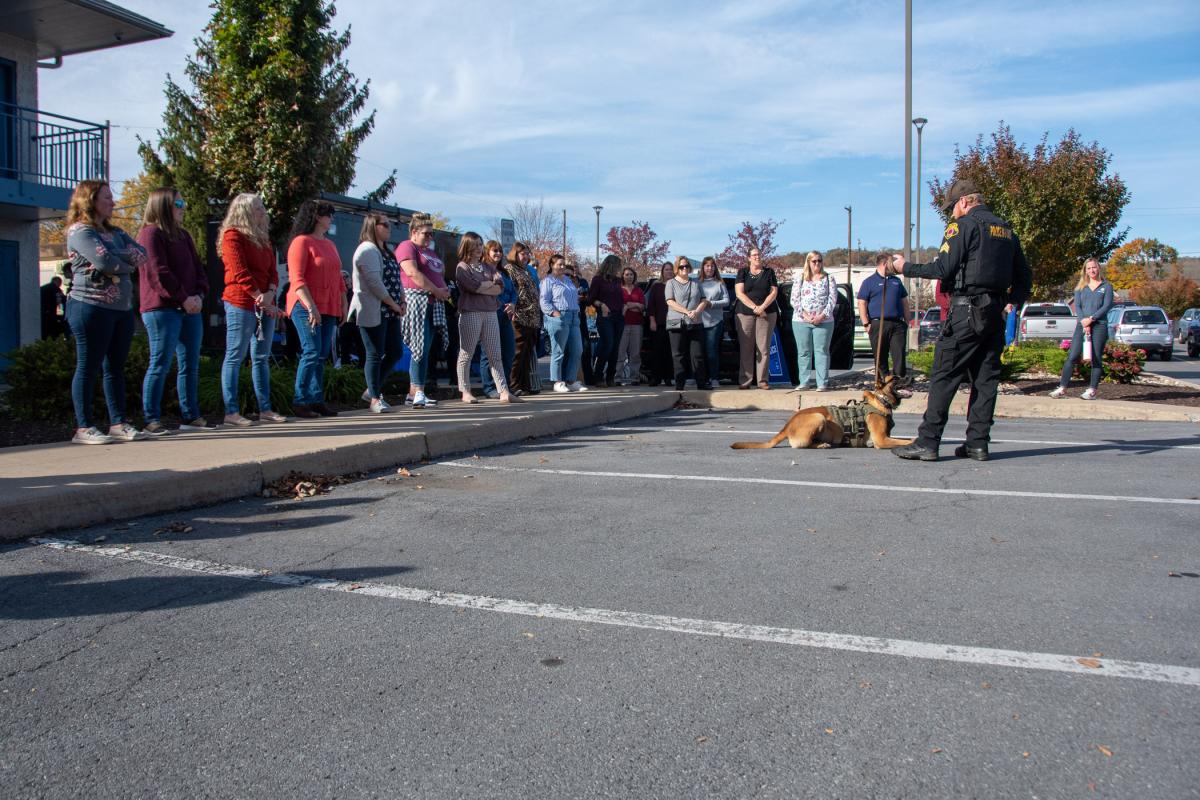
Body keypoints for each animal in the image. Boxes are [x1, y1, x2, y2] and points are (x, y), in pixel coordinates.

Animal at [724, 376, 912, 450]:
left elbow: (904, 439)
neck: (881, 400)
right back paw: (821, 445)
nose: (910, 377)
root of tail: (787, 426)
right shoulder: (881, 440)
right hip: (818, 417)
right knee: (803, 444)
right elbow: (905, 441)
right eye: (896, 379)